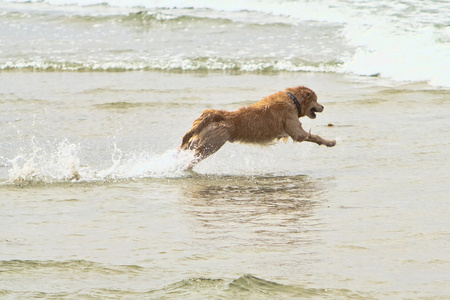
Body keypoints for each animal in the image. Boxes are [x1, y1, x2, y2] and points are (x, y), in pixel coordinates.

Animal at [178, 86, 334, 169]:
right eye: (316, 100)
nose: (323, 107)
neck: (293, 99)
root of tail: (216, 114)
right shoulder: (296, 130)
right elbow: (314, 136)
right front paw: (330, 142)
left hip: (200, 140)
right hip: (211, 145)